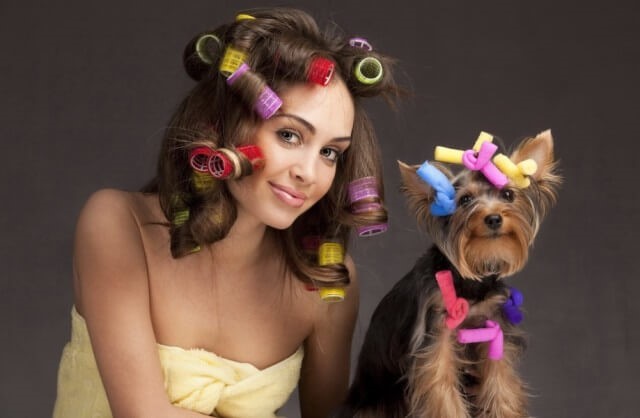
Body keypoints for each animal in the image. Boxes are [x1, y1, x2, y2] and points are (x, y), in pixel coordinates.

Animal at [340, 129, 560, 416]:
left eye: (508, 195)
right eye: (465, 200)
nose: (493, 218)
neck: (468, 282)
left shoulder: (494, 326)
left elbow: (500, 384)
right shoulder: (437, 337)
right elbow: (441, 387)